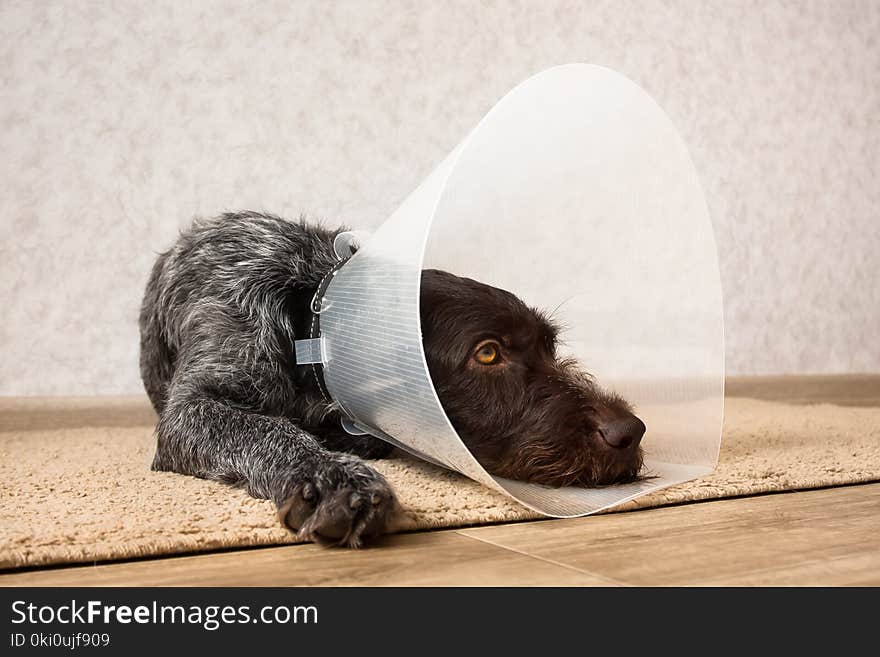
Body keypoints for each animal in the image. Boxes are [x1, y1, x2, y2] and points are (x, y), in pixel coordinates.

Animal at [139, 210, 648, 544]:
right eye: (487, 353)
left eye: (550, 346)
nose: (630, 431)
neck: (308, 325)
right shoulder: (196, 404)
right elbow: (265, 429)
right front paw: (332, 477)